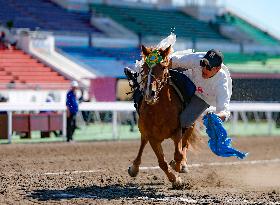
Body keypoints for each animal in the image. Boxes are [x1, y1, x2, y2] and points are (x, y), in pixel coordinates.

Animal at [128, 44, 200, 187]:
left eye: (163, 67)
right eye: (144, 67)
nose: (149, 93)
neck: (160, 111)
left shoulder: (177, 130)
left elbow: (178, 154)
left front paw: (178, 167)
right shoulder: (152, 137)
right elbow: (162, 162)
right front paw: (175, 179)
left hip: (190, 124)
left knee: (185, 144)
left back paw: (183, 165)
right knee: (143, 142)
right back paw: (134, 167)